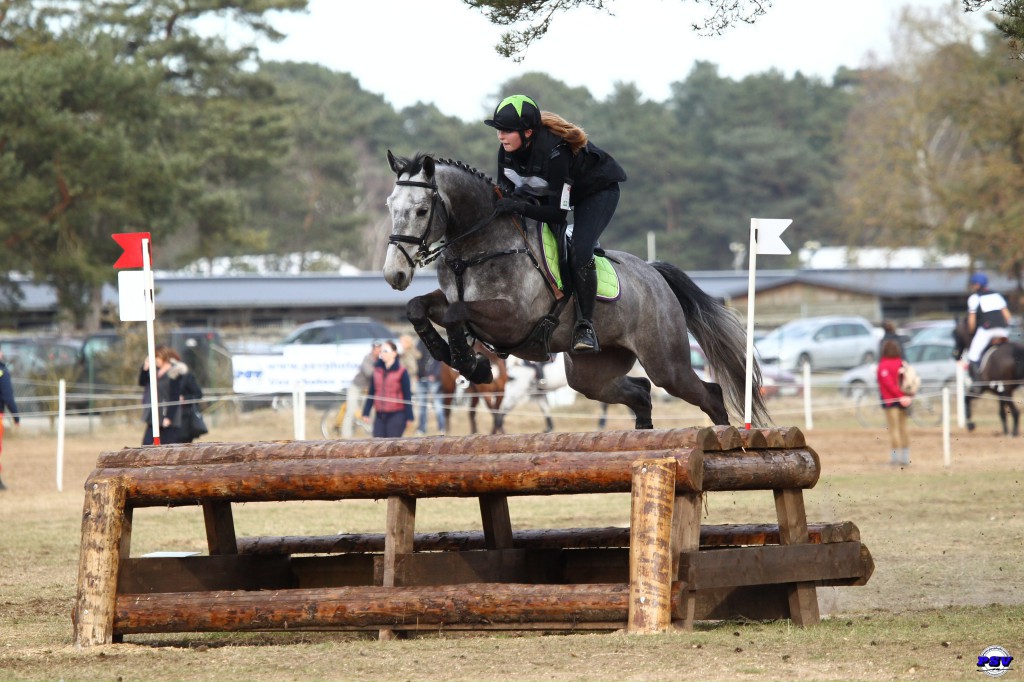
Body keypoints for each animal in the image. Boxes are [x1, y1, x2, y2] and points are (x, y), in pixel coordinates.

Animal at [385, 154, 770, 430]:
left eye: (421, 210)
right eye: (391, 206)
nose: (395, 274)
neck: (479, 245)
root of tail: (655, 275)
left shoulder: (511, 319)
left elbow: (455, 315)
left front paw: (471, 364)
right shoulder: (455, 300)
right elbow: (418, 307)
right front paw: (447, 353)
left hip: (667, 364)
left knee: (709, 394)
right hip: (591, 373)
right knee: (641, 392)